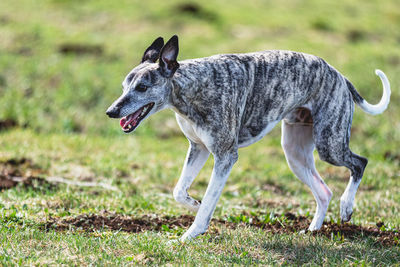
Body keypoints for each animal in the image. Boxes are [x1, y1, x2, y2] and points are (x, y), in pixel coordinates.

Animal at [106, 35, 390, 243]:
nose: (111, 111)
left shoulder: (225, 157)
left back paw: (346, 207)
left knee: (359, 163)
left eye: (142, 87)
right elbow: (179, 191)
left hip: (329, 144)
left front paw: (190, 233)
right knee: (324, 191)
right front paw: (194, 203)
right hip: (295, 154)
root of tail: (339, 76)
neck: (193, 87)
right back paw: (312, 230)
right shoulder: (198, 148)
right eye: (123, 86)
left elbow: (209, 200)